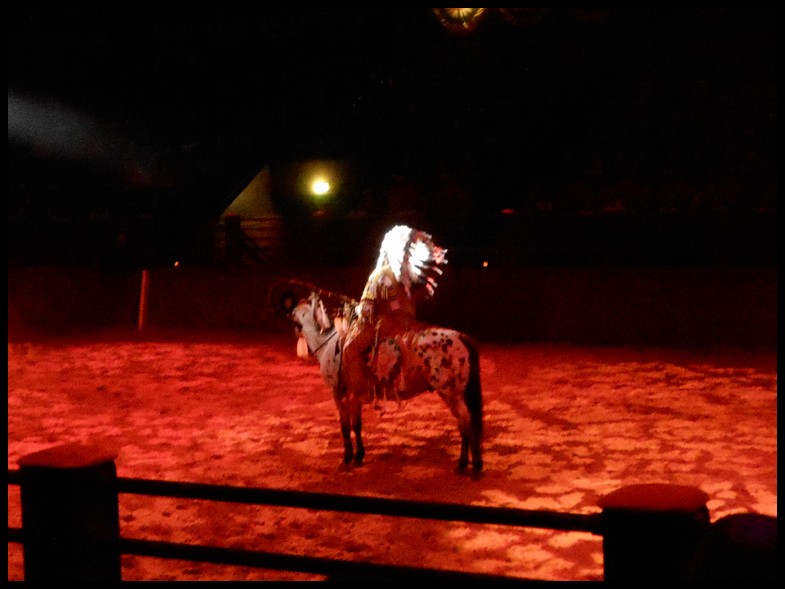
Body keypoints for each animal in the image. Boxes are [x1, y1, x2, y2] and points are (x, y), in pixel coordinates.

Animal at [290, 290, 480, 474]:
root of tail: (460, 336)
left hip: (451, 394)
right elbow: (356, 425)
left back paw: (466, 464)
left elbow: (345, 427)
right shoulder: (355, 397)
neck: (329, 344)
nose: (290, 311)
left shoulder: (340, 395)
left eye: (299, 313)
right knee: (464, 424)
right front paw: (359, 456)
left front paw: (348, 458)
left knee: (466, 423)